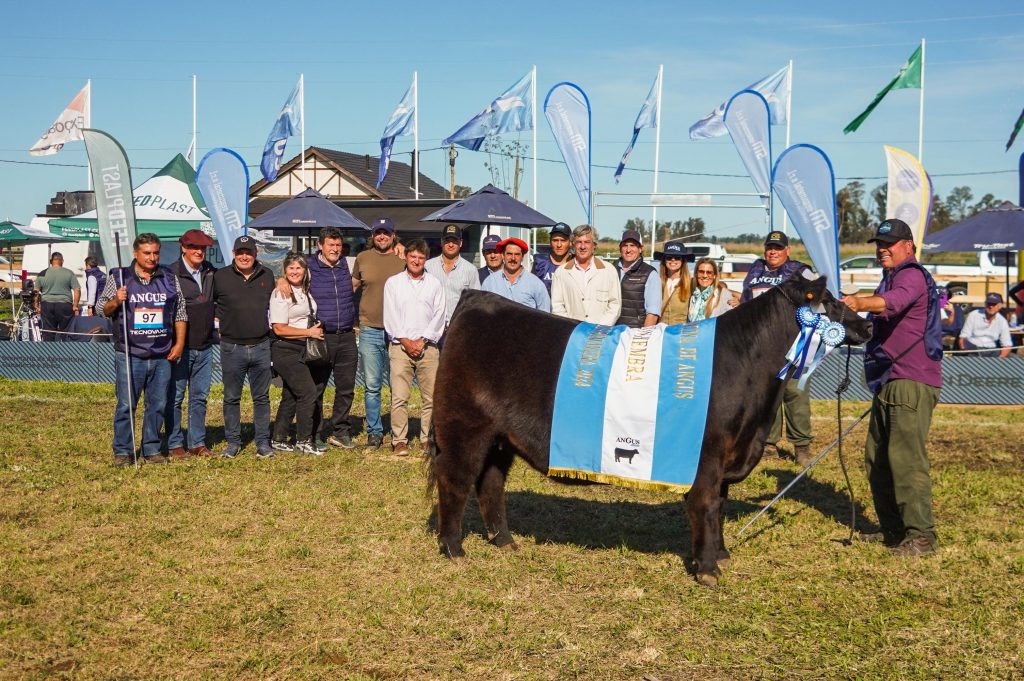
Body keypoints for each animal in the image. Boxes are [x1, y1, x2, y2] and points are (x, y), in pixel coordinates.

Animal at [428, 274, 868, 585]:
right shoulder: (706, 456)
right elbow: (706, 507)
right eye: (829, 302)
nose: (864, 326)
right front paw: (707, 569)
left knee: (490, 483)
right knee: (456, 480)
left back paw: (504, 541)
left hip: (500, 439)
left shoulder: (727, 455)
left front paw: (721, 554)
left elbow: (721, 507)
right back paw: (453, 549)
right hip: (464, 427)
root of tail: (479, 299)